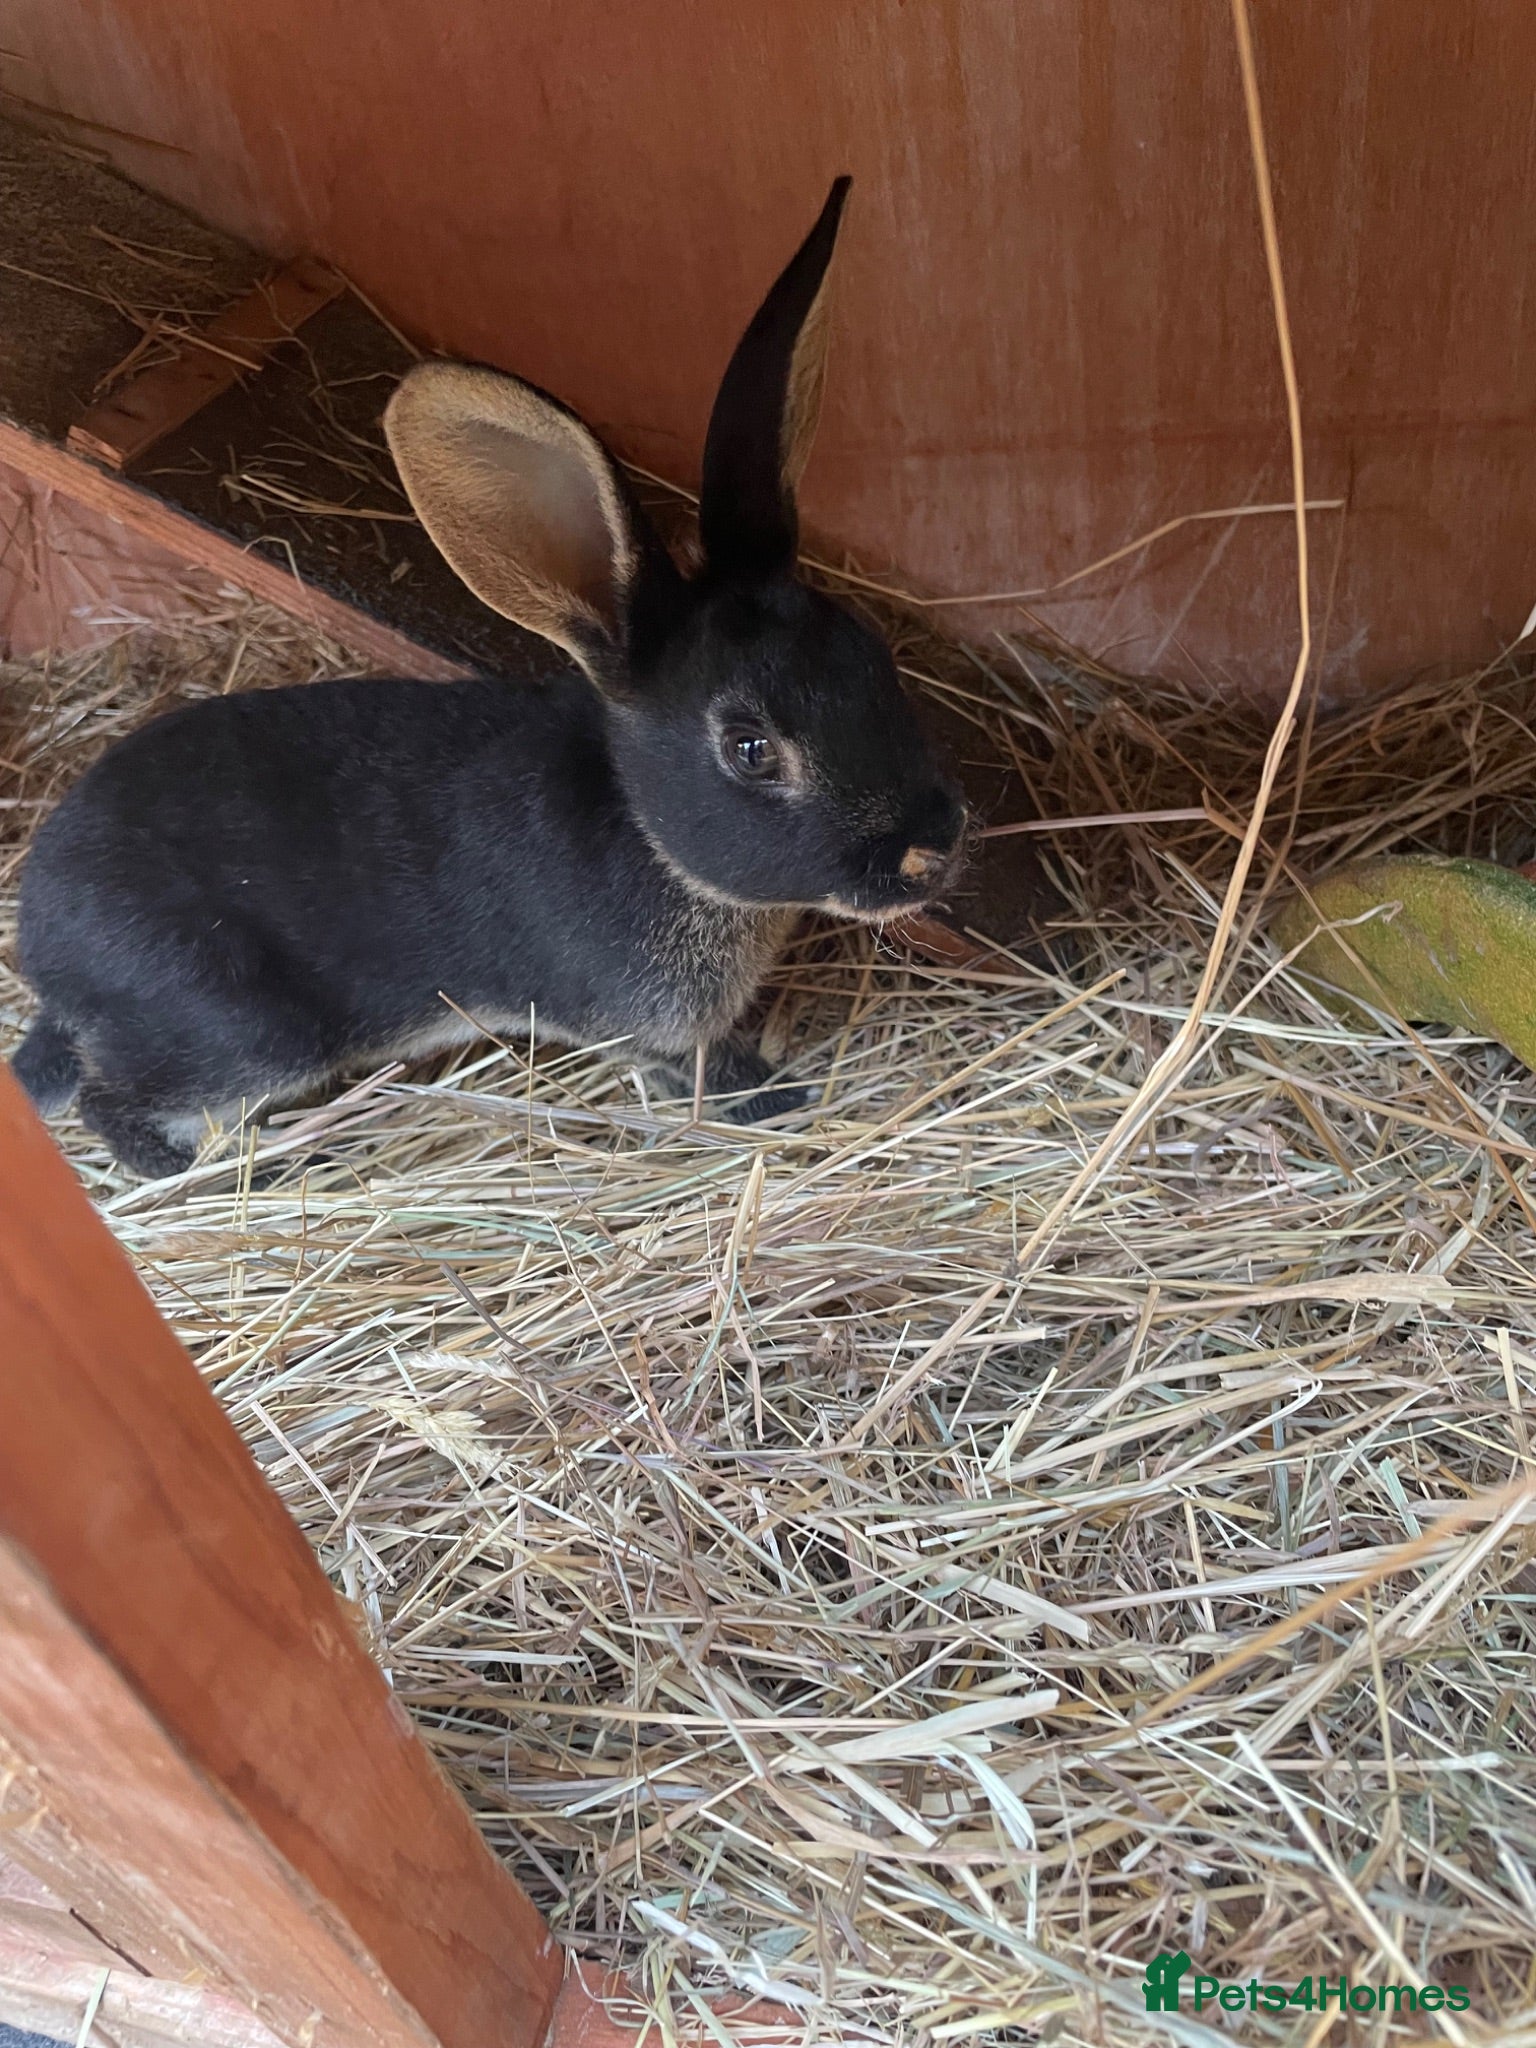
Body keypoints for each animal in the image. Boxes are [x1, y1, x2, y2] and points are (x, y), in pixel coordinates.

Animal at [10, 177, 966, 1180]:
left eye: (872, 653)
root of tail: (48, 965)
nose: (932, 849)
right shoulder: (645, 1023)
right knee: (122, 1109)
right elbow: (687, 1067)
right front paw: (775, 1097)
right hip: (241, 1033)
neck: (654, 837)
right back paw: (259, 1162)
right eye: (750, 749)